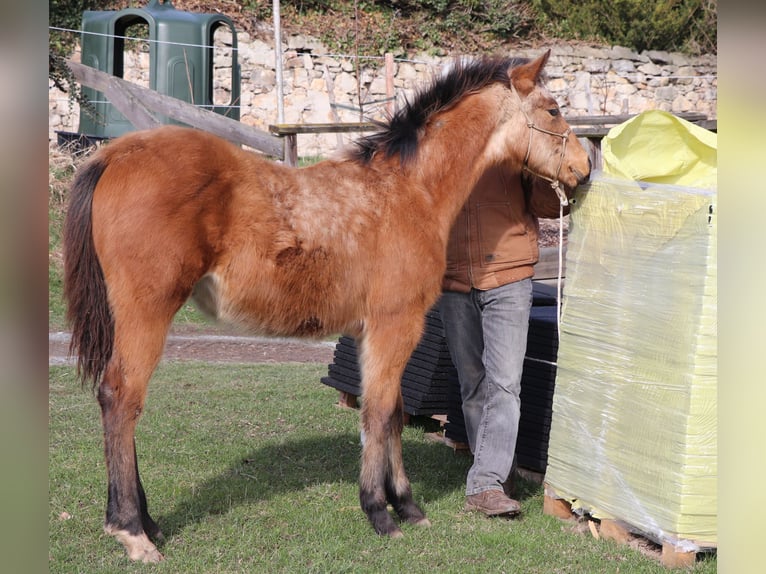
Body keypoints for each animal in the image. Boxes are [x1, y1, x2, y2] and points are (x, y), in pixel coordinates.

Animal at [64, 49, 592, 564]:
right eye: (553, 110)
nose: (584, 169)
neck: (410, 190)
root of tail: (114, 153)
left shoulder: (372, 332)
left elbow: (394, 410)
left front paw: (407, 506)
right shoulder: (396, 325)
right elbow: (378, 412)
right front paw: (381, 513)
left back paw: (146, 521)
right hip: (147, 311)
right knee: (121, 397)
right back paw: (133, 531)